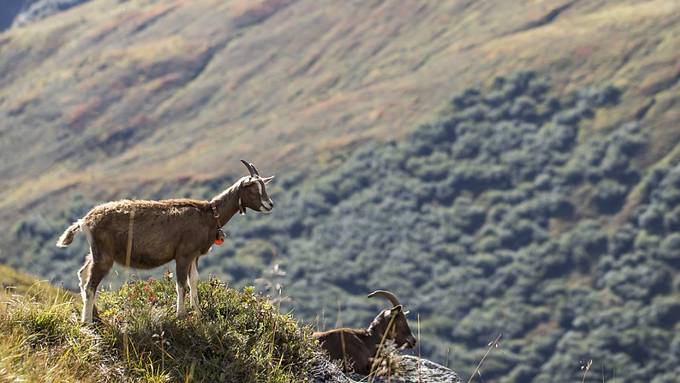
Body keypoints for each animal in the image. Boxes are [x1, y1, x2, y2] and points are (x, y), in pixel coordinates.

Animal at [55, 160, 274, 324]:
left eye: (264, 186)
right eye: (253, 188)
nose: (270, 205)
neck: (210, 214)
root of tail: (85, 221)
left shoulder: (194, 255)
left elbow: (193, 281)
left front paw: (198, 312)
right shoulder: (183, 254)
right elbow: (181, 284)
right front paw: (181, 315)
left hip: (95, 252)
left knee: (83, 275)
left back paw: (95, 316)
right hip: (104, 255)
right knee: (90, 284)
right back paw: (87, 321)